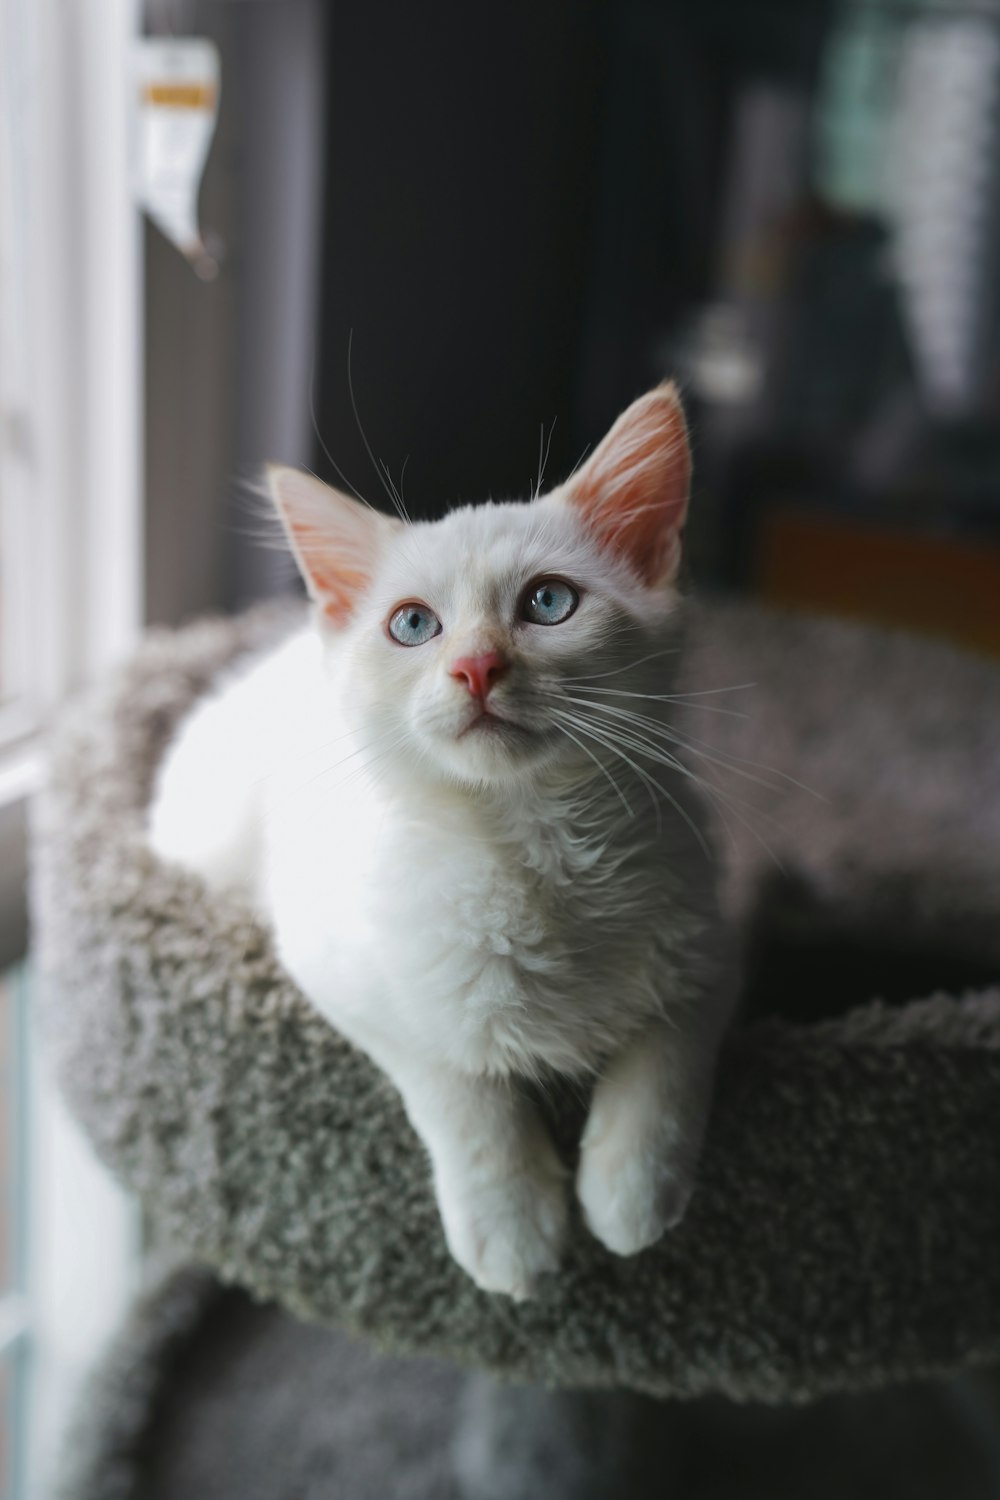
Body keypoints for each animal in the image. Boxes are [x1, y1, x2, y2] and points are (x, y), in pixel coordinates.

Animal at [152, 387, 740, 1302]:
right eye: (413, 625)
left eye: (548, 604)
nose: (476, 668)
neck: (533, 848)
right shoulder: (338, 974)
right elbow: (453, 1077)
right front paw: (512, 1223)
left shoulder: (709, 939)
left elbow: (670, 1049)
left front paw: (633, 1192)